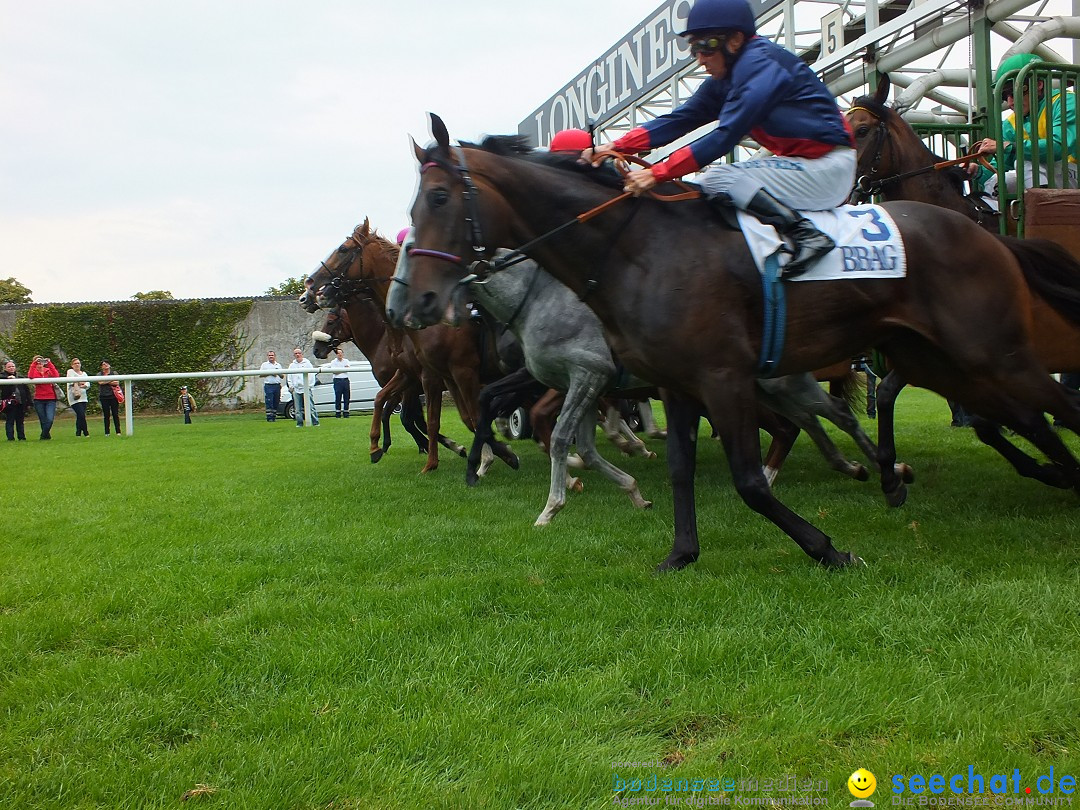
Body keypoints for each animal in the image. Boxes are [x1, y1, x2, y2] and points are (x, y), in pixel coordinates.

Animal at [393, 114, 1080, 574]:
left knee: (1040, 408)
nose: (417, 304)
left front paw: (826, 548)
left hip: (988, 354)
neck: (640, 252)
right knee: (1006, 417)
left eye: (439, 197)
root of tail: (983, 233)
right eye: (412, 208)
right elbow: (674, 465)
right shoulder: (671, 383)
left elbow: (747, 481)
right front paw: (679, 551)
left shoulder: (713, 377)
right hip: (940, 361)